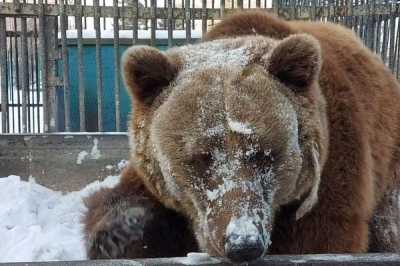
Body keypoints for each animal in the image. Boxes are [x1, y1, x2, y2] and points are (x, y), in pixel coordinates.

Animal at [83, 10, 400, 264]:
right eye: (201, 157)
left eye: (264, 154)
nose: (242, 244)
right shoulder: (150, 174)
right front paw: (122, 232)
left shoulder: (329, 178)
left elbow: (321, 238)